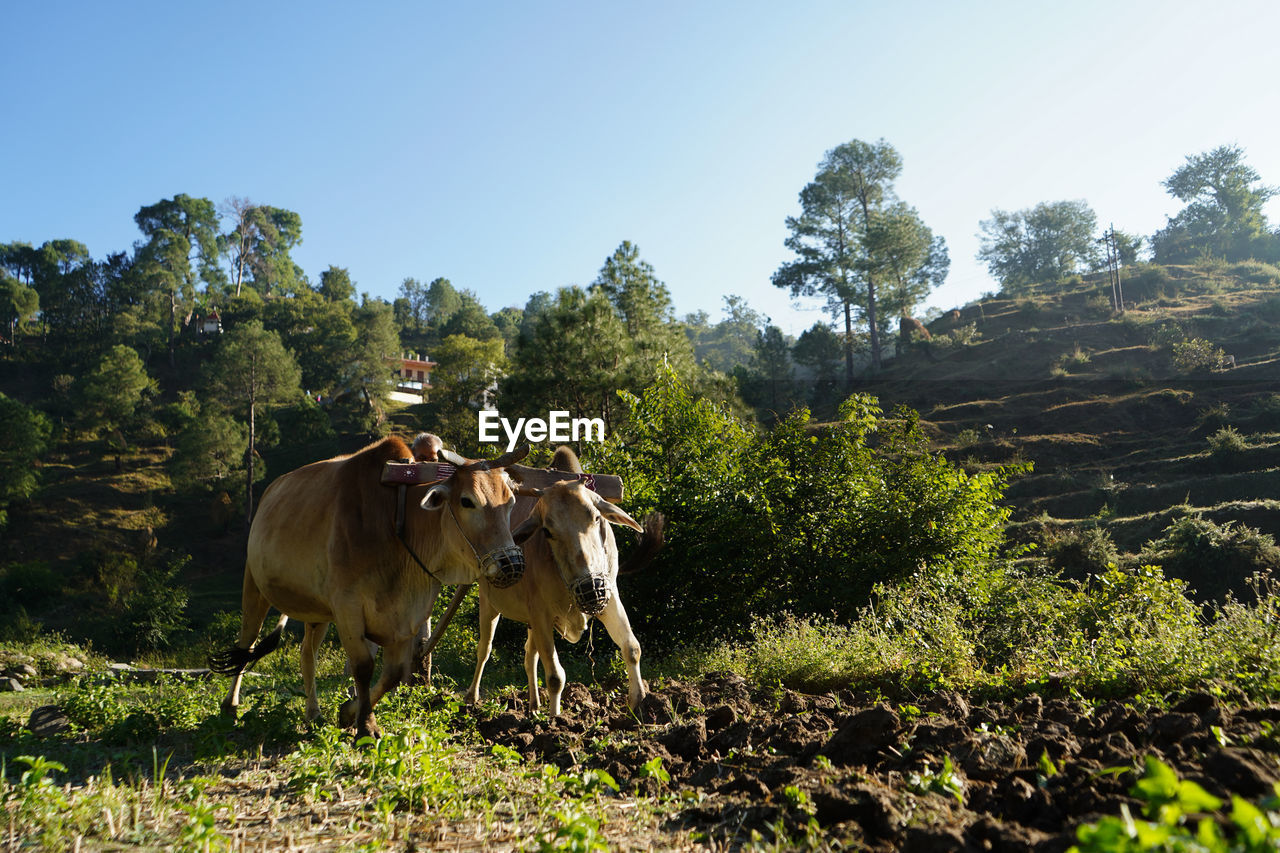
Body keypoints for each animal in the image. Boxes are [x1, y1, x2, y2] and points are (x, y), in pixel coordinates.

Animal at [209, 435, 528, 740]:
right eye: (467, 501)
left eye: (511, 501)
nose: (511, 564)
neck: (396, 523)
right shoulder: (347, 607)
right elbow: (363, 666)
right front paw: (366, 726)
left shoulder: (406, 617)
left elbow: (393, 674)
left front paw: (349, 713)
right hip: (254, 585)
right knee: (247, 642)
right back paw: (231, 706)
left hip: (316, 612)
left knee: (307, 654)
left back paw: (313, 713)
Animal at [459, 446, 658, 716]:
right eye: (547, 531)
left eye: (596, 518)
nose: (590, 588)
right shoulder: (541, 613)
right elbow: (555, 676)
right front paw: (556, 719)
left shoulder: (609, 597)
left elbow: (632, 648)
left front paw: (638, 702)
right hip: (488, 605)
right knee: (484, 649)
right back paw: (472, 697)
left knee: (529, 656)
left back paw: (533, 705)